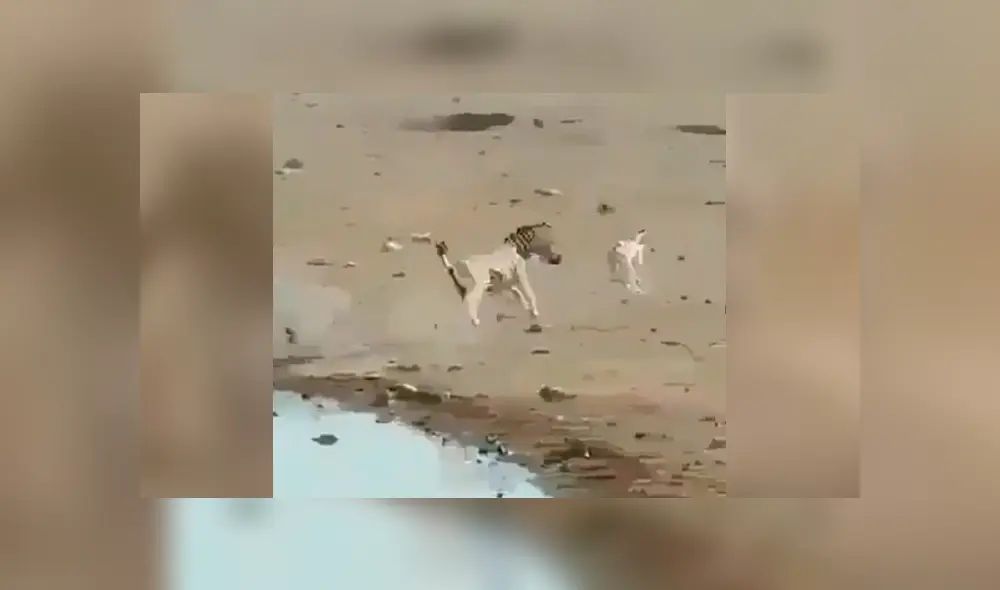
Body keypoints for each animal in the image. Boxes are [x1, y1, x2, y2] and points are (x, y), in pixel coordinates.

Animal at [435, 222, 563, 327]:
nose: (557, 259)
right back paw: (475, 320)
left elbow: (517, 292)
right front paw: (535, 311)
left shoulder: (508, 278)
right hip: (481, 283)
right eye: (548, 242)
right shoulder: (521, 273)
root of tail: (467, 263)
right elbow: (529, 293)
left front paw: (527, 306)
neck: (515, 245)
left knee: (453, 273)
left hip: (467, 277)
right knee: (472, 298)